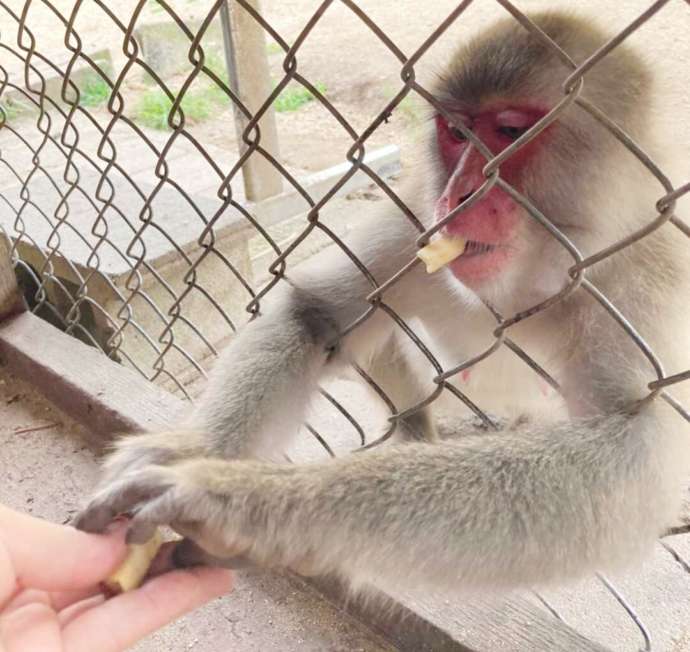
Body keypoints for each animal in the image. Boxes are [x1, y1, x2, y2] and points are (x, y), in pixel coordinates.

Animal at [75, 11, 690, 595]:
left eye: (510, 132)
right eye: (456, 133)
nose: (458, 195)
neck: (523, 284)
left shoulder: (639, 284)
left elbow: (634, 454)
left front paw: (244, 502)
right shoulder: (417, 221)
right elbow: (316, 314)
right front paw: (194, 450)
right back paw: (413, 427)